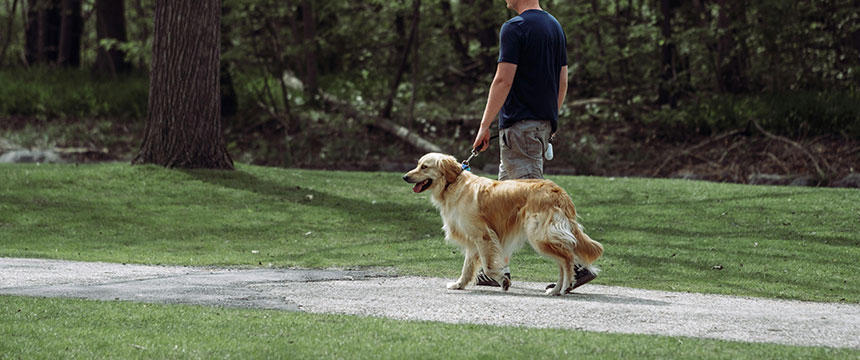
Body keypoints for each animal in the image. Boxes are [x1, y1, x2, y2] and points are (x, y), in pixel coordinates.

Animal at [404, 152, 600, 296]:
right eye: (418, 164)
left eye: (424, 167)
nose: (405, 176)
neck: (452, 185)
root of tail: (558, 191)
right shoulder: (473, 240)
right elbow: (467, 267)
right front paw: (459, 284)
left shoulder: (484, 236)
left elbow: (489, 267)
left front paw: (503, 281)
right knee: (564, 259)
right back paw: (556, 289)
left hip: (539, 237)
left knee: (567, 258)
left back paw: (566, 286)